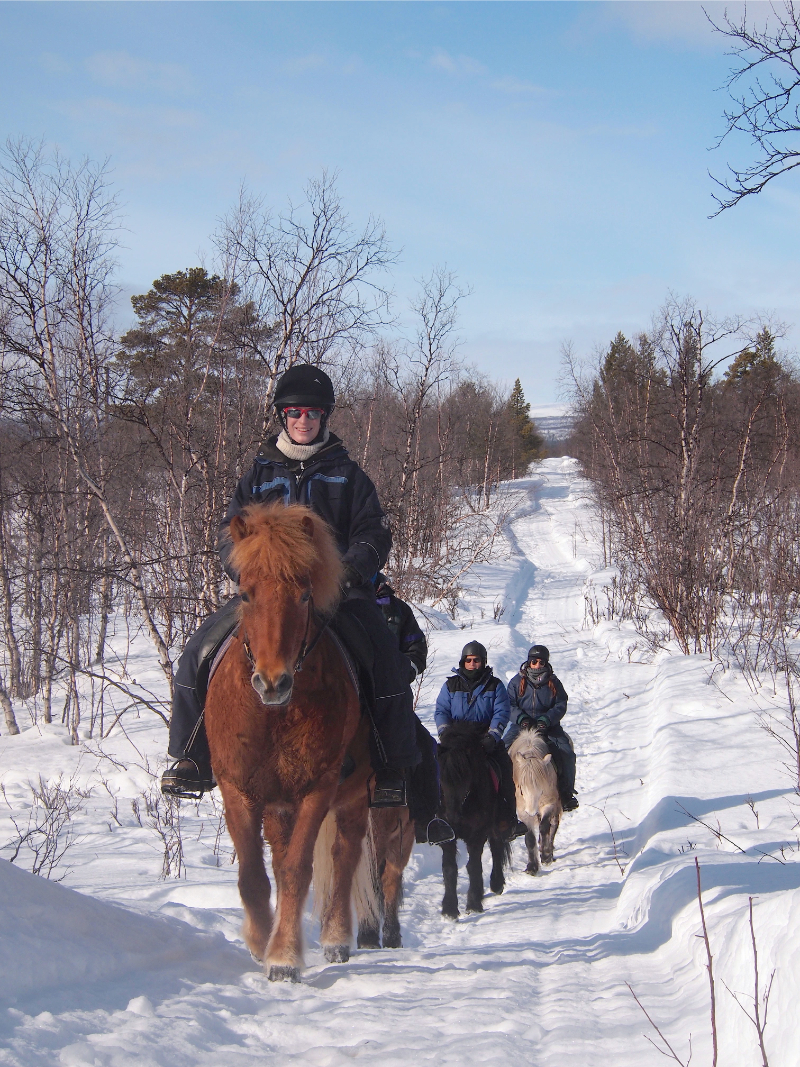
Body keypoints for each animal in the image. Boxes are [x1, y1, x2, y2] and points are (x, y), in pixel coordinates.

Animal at [208, 501, 379, 981]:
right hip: (277, 808)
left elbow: (298, 871)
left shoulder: (317, 789)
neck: (274, 716)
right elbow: (253, 875)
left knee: (344, 856)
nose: (272, 682)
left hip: (353, 797)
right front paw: (259, 941)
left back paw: (336, 938)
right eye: (247, 594)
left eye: (304, 596)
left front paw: (283, 957)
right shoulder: (238, 789)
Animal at [435, 721, 509, 921]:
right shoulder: (447, 838)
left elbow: (473, 866)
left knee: (497, 847)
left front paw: (474, 904)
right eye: (442, 779)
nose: (452, 817)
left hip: (496, 825)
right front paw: (449, 909)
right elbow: (449, 869)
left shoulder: (477, 835)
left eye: (465, 777)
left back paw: (496, 883)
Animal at [509, 734, 558, 874]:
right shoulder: (522, 812)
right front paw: (532, 867)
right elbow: (530, 838)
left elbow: (544, 827)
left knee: (553, 826)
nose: (531, 812)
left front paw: (546, 856)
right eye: (521, 789)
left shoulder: (549, 805)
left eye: (541, 789)